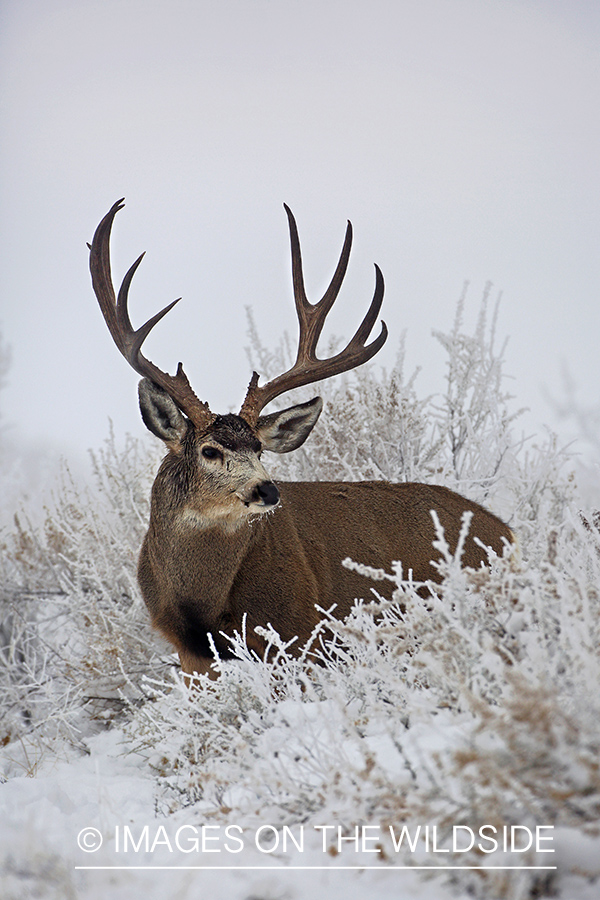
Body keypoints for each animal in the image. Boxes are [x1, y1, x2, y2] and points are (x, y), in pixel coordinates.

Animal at [89, 197, 516, 676]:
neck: (201, 607)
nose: (267, 489)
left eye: (259, 448)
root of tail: (510, 536)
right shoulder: (191, 657)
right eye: (210, 450)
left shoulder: (301, 633)